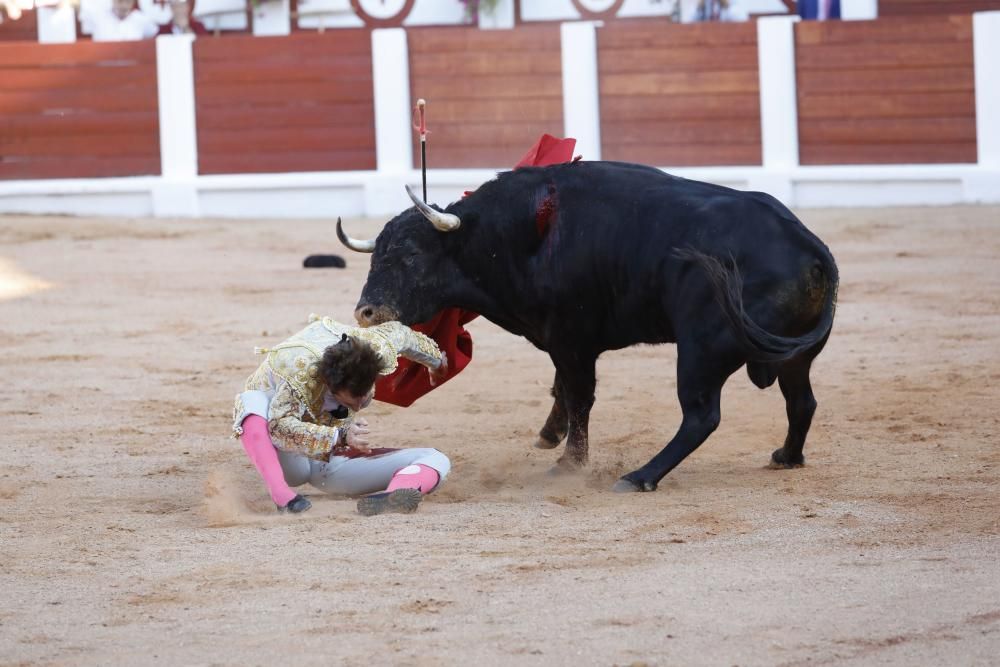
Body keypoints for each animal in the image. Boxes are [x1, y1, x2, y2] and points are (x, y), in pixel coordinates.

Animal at [336, 161, 836, 494]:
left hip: (701, 349)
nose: (367, 313)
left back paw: (639, 477)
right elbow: (562, 389)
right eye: (378, 253)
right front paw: (550, 437)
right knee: (802, 402)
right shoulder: (561, 342)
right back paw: (787, 458)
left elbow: (579, 397)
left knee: (702, 416)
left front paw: (569, 463)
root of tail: (807, 244)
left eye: (412, 254)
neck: (514, 235)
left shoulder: (572, 340)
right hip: (792, 357)